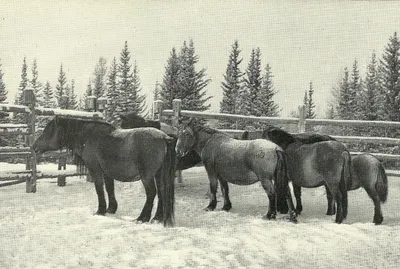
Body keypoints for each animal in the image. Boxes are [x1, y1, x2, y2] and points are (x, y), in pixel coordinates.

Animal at [32, 116, 174, 226]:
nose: (34, 146)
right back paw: (157, 218)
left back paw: (142, 218)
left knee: (151, 193)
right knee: (161, 192)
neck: (88, 136)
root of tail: (164, 137)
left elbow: (99, 188)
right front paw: (111, 209)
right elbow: (110, 189)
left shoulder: (95, 169)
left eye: (48, 131)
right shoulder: (107, 172)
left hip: (147, 176)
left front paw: (100, 211)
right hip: (158, 175)